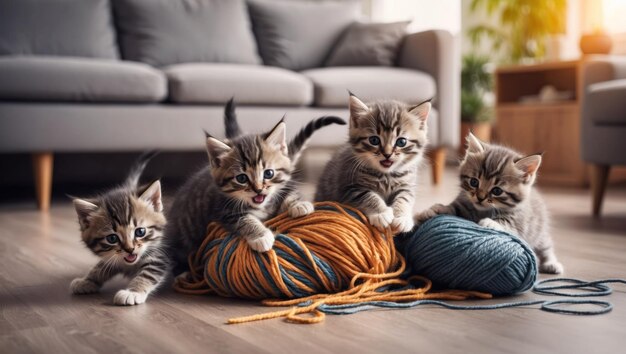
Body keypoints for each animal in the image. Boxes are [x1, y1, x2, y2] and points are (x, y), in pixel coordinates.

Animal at [70, 153, 168, 306]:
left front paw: (133, 292)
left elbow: (148, 273)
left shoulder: (160, 256)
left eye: (140, 232)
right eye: (112, 238)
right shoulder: (113, 258)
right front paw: (87, 280)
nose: (130, 249)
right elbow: (101, 266)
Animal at [167, 101, 346, 272]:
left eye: (268, 173)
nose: (259, 189)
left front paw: (298, 204)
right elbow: (245, 220)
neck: (263, 207)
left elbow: (285, 193)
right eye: (241, 178)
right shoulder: (224, 210)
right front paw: (261, 237)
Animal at [314, 92, 426, 234]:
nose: (387, 154)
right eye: (374, 140)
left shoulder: (407, 185)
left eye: (401, 142)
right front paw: (381, 214)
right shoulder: (349, 187)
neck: (386, 175)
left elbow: (405, 198)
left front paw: (402, 218)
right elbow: (368, 196)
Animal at [414, 133, 560, 274]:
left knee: (546, 245)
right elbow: (453, 208)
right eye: (474, 182)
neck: (482, 211)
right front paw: (435, 209)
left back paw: (552, 263)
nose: (480, 198)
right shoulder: (464, 205)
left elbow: (507, 222)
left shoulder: (519, 223)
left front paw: (490, 222)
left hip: (539, 230)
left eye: (497, 191)